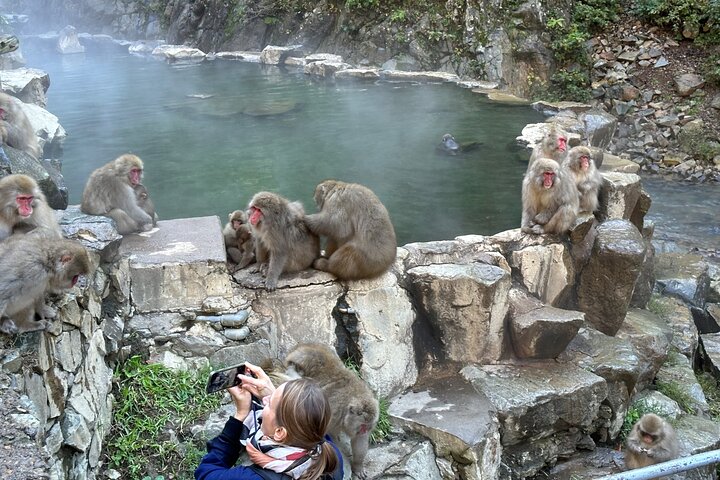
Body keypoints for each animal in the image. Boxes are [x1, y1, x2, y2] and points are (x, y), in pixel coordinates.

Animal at [283, 343, 379, 480]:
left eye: (367, 426)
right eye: (362, 425)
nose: (364, 430)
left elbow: (359, 442)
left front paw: (358, 466)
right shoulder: (334, 412)